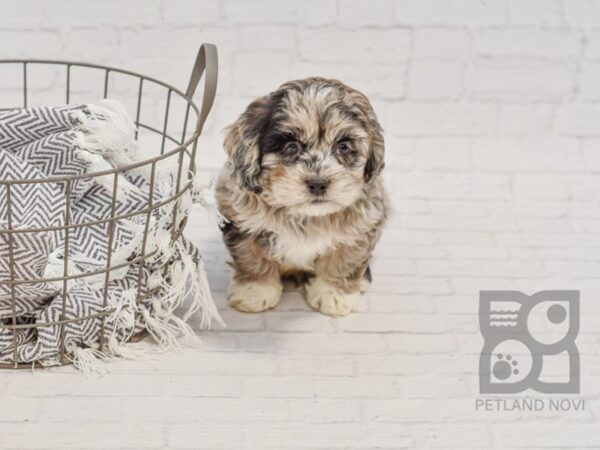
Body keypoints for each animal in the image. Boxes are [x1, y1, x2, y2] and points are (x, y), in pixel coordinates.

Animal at [216, 77, 390, 316]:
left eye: (343, 147)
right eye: (291, 146)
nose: (318, 184)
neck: (305, 215)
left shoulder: (362, 228)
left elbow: (344, 261)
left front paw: (334, 295)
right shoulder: (241, 220)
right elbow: (252, 258)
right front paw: (255, 292)